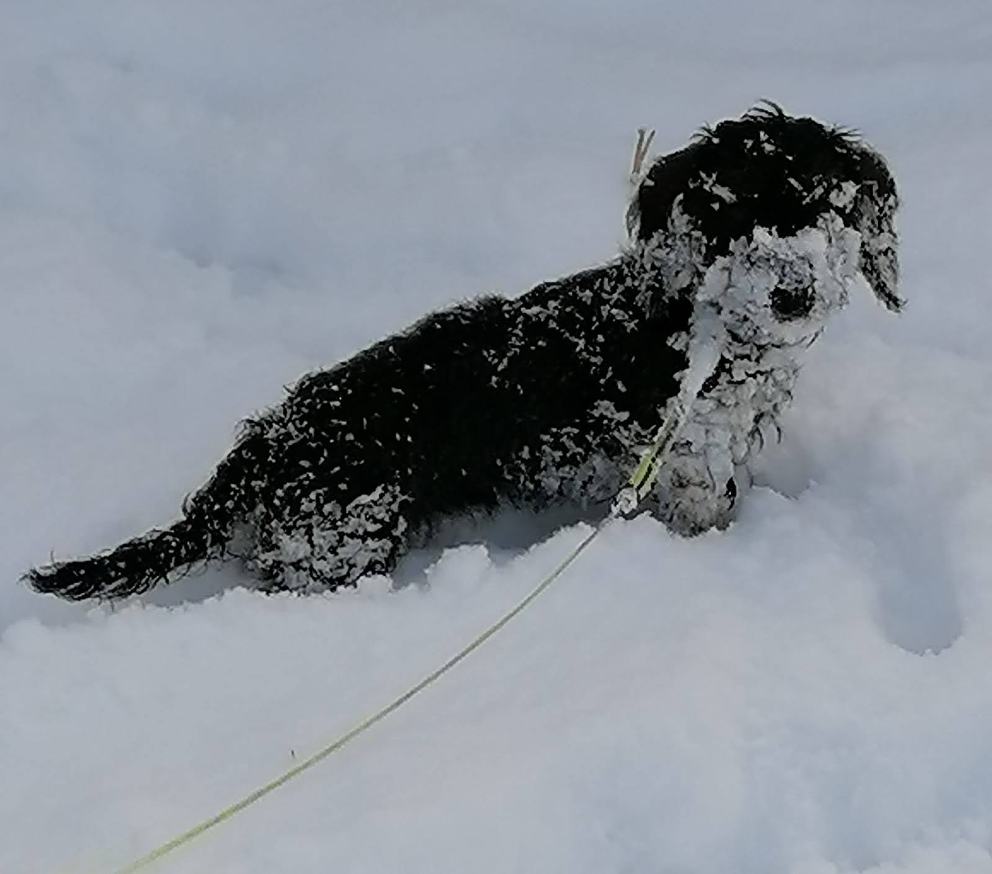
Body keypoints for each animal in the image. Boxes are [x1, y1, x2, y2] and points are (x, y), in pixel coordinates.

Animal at [27, 104, 904, 600]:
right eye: (732, 213)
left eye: (824, 207)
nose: (793, 295)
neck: (703, 328)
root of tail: (260, 452)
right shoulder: (688, 470)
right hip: (340, 543)